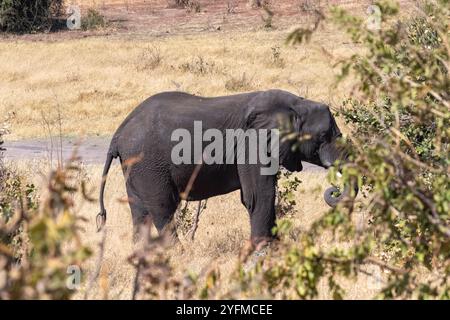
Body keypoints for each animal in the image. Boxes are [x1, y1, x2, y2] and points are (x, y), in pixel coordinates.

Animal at [96, 90, 356, 245]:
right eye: (324, 136)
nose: (333, 189)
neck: (297, 104)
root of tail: (118, 134)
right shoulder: (253, 144)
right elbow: (258, 195)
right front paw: (264, 252)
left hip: (135, 166)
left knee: (139, 211)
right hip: (148, 164)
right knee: (163, 208)